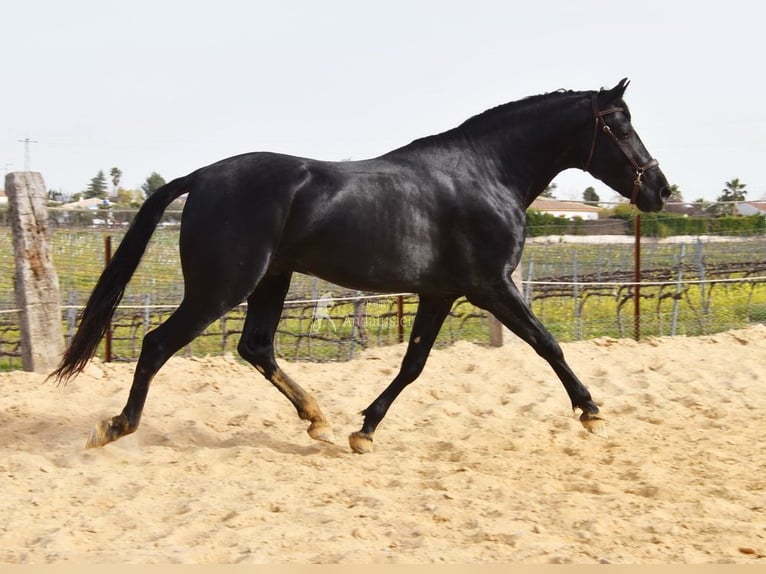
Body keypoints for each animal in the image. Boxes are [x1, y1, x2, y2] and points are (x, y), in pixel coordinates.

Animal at [51, 78, 670, 453]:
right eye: (617, 125)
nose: (660, 189)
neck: (486, 174)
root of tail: (201, 177)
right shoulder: (491, 286)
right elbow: (548, 344)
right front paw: (590, 410)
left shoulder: (440, 293)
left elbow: (414, 364)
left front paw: (363, 430)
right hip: (221, 287)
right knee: (158, 343)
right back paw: (117, 426)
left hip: (272, 279)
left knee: (256, 347)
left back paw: (317, 419)